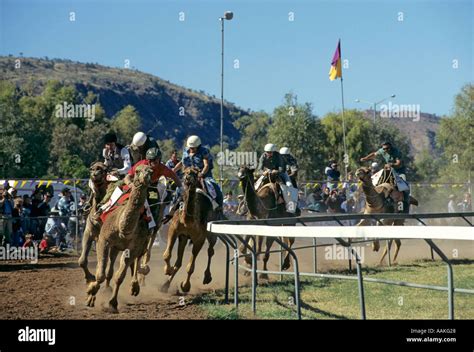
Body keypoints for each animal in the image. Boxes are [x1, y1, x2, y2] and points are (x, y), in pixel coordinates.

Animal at [84, 164, 153, 312]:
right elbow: (100, 274)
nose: (146, 175)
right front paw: (90, 292)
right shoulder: (104, 240)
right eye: (137, 171)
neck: (122, 227)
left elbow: (119, 277)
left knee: (136, 261)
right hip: (113, 245)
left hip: (141, 244)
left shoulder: (133, 247)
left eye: (151, 170)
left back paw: (134, 287)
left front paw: (113, 303)